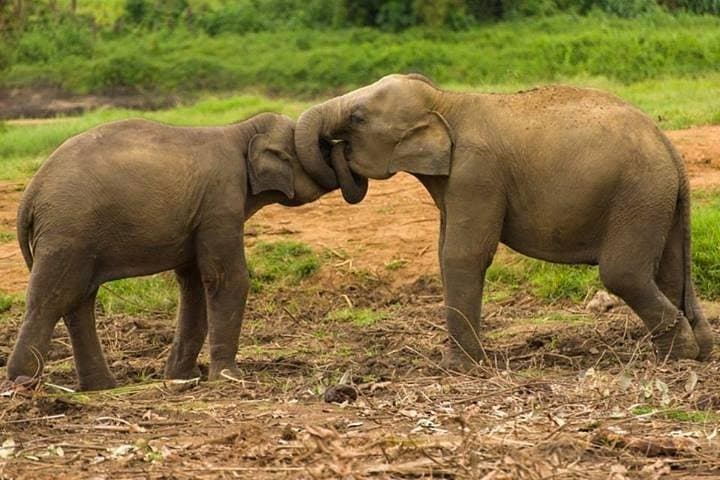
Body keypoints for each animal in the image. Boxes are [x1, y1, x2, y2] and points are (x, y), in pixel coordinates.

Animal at [4, 112, 360, 391]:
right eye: (322, 148)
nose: (342, 143)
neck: (241, 130)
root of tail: (29, 196)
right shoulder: (221, 202)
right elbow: (226, 277)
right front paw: (229, 377)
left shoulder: (199, 215)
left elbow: (194, 283)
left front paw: (183, 377)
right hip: (69, 232)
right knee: (53, 298)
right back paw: (23, 382)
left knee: (78, 302)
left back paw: (102, 387)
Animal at [294, 73, 714, 369]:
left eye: (357, 117)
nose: (335, 151)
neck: (446, 101)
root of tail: (669, 146)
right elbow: (445, 251)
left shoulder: (476, 174)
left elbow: (463, 255)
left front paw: (459, 367)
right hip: (659, 201)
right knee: (669, 272)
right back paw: (698, 352)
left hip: (636, 195)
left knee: (622, 273)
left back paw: (675, 356)